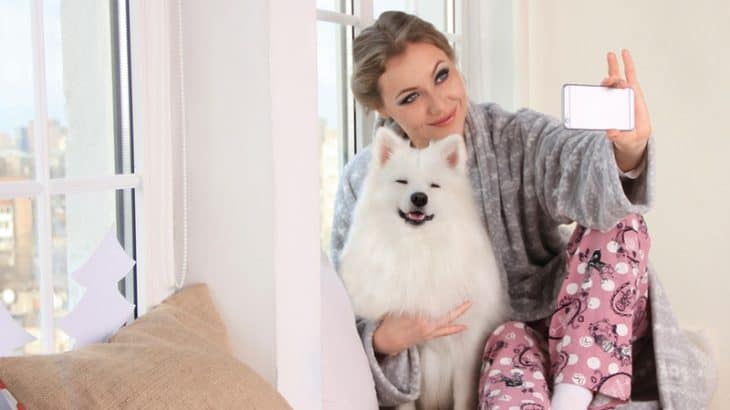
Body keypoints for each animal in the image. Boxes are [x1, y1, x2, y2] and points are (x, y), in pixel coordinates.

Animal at [340, 126, 506, 408]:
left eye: (434, 185)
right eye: (402, 182)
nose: (419, 197)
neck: (417, 245)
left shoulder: (467, 347)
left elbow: (464, 397)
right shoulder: (407, 354)